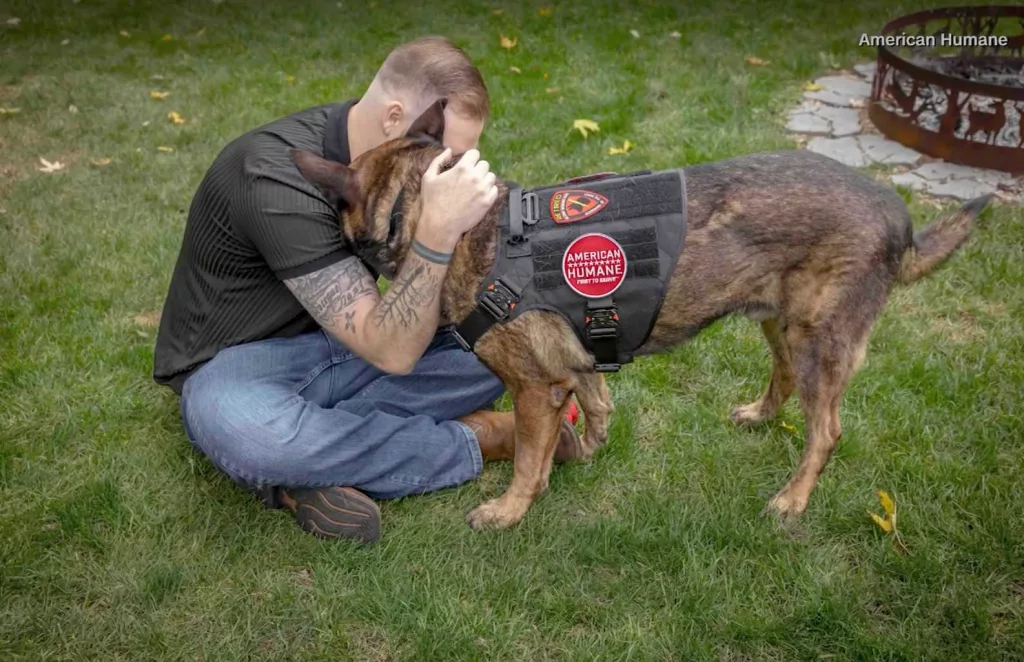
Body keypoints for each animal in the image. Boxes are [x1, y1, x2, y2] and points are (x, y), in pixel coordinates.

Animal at [290, 100, 991, 532]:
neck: (452, 222)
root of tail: (899, 217)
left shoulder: (534, 388)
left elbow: (527, 458)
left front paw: (511, 509)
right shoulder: (574, 366)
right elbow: (593, 404)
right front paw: (580, 451)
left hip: (819, 338)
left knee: (827, 430)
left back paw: (792, 499)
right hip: (779, 321)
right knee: (785, 377)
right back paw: (761, 416)